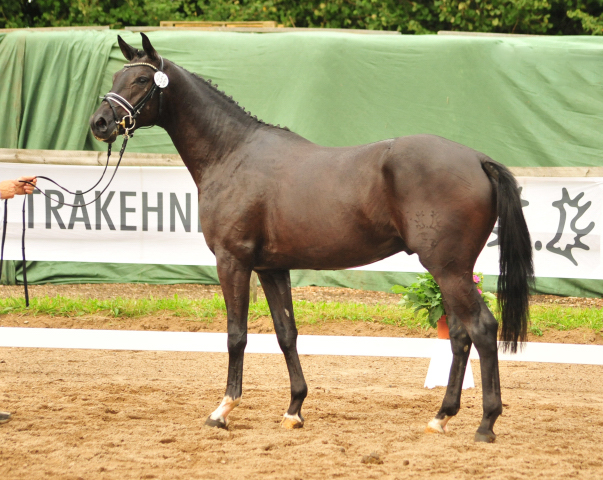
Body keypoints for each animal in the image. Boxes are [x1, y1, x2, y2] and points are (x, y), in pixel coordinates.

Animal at [88, 33, 532, 444]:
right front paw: (294, 409)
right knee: (459, 335)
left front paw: (223, 410)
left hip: (448, 268)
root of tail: (477, 158)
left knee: (481, 329)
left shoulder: (233, 261)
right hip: (450, 271)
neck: (231, 154)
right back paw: (441, 417)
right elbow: (287, 334)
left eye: (142, 79)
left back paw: (486, 423)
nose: (100, 123)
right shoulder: (271, 268)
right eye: (116, 77)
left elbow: (236, 335)